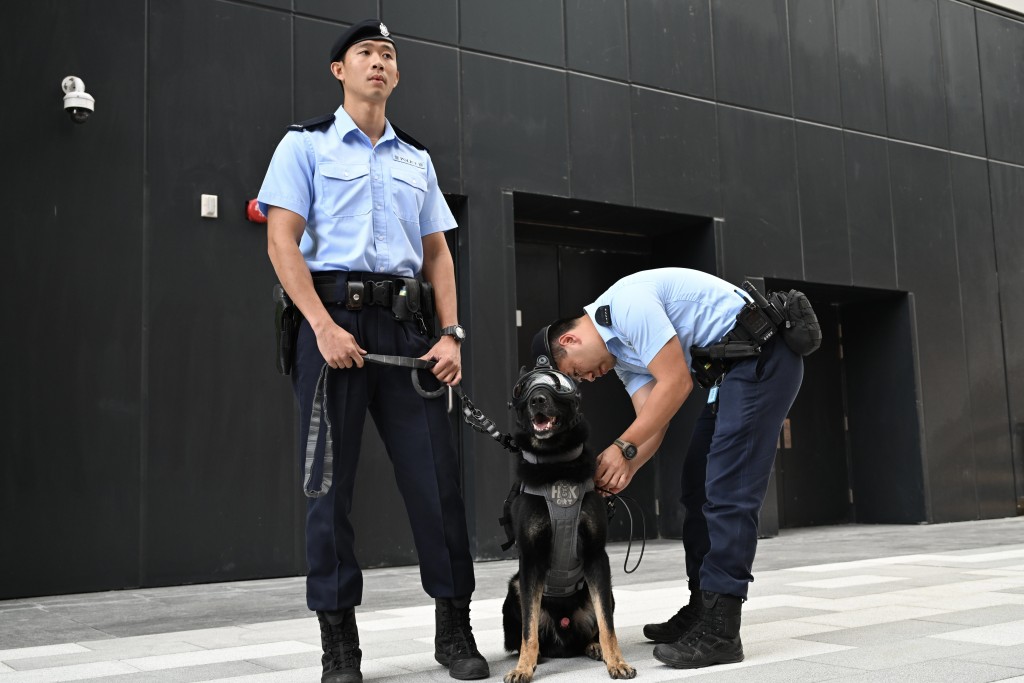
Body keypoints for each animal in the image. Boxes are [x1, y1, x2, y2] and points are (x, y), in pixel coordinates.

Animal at [501, 366, 634, 683]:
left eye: (557, 386)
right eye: (524, 388)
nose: (537, 400)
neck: (555, 463)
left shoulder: (597, 558)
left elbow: (608, 624)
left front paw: (616, 661)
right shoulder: (530, 562)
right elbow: (528, 629)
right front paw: (523, 668)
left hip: (603, 588)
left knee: (596, 624)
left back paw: (594, 646)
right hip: (515, 588)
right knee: (528, 634)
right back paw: (534, 657)